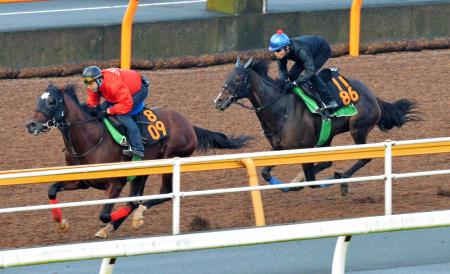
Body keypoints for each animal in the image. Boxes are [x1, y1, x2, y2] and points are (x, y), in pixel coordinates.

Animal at [25, 84, 250, 238]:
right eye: (38, 100)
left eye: (52, 101)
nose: (31, 124)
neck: (91, 138)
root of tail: (189, 125)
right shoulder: (81, 181)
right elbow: (52, 189)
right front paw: (61, 223)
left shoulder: (116, 182)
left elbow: (105, 213)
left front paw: (116, 220)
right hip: (142, 170)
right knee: (138, 196)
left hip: (168, 159)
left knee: (160, 193)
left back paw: (135, 216)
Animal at [214, 58, 418, 195]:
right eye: (228, 76)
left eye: (238, 78)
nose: (219, 101)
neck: (280, 109)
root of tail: (372, 95)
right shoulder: (279, 148)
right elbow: (265, 172)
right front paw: (290, 182)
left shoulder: (305, 148)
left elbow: (311, 182)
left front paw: (301, 182)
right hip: (328, 134)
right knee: (328, 161)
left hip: (358, 128)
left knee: (364, 157)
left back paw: (342, 179)